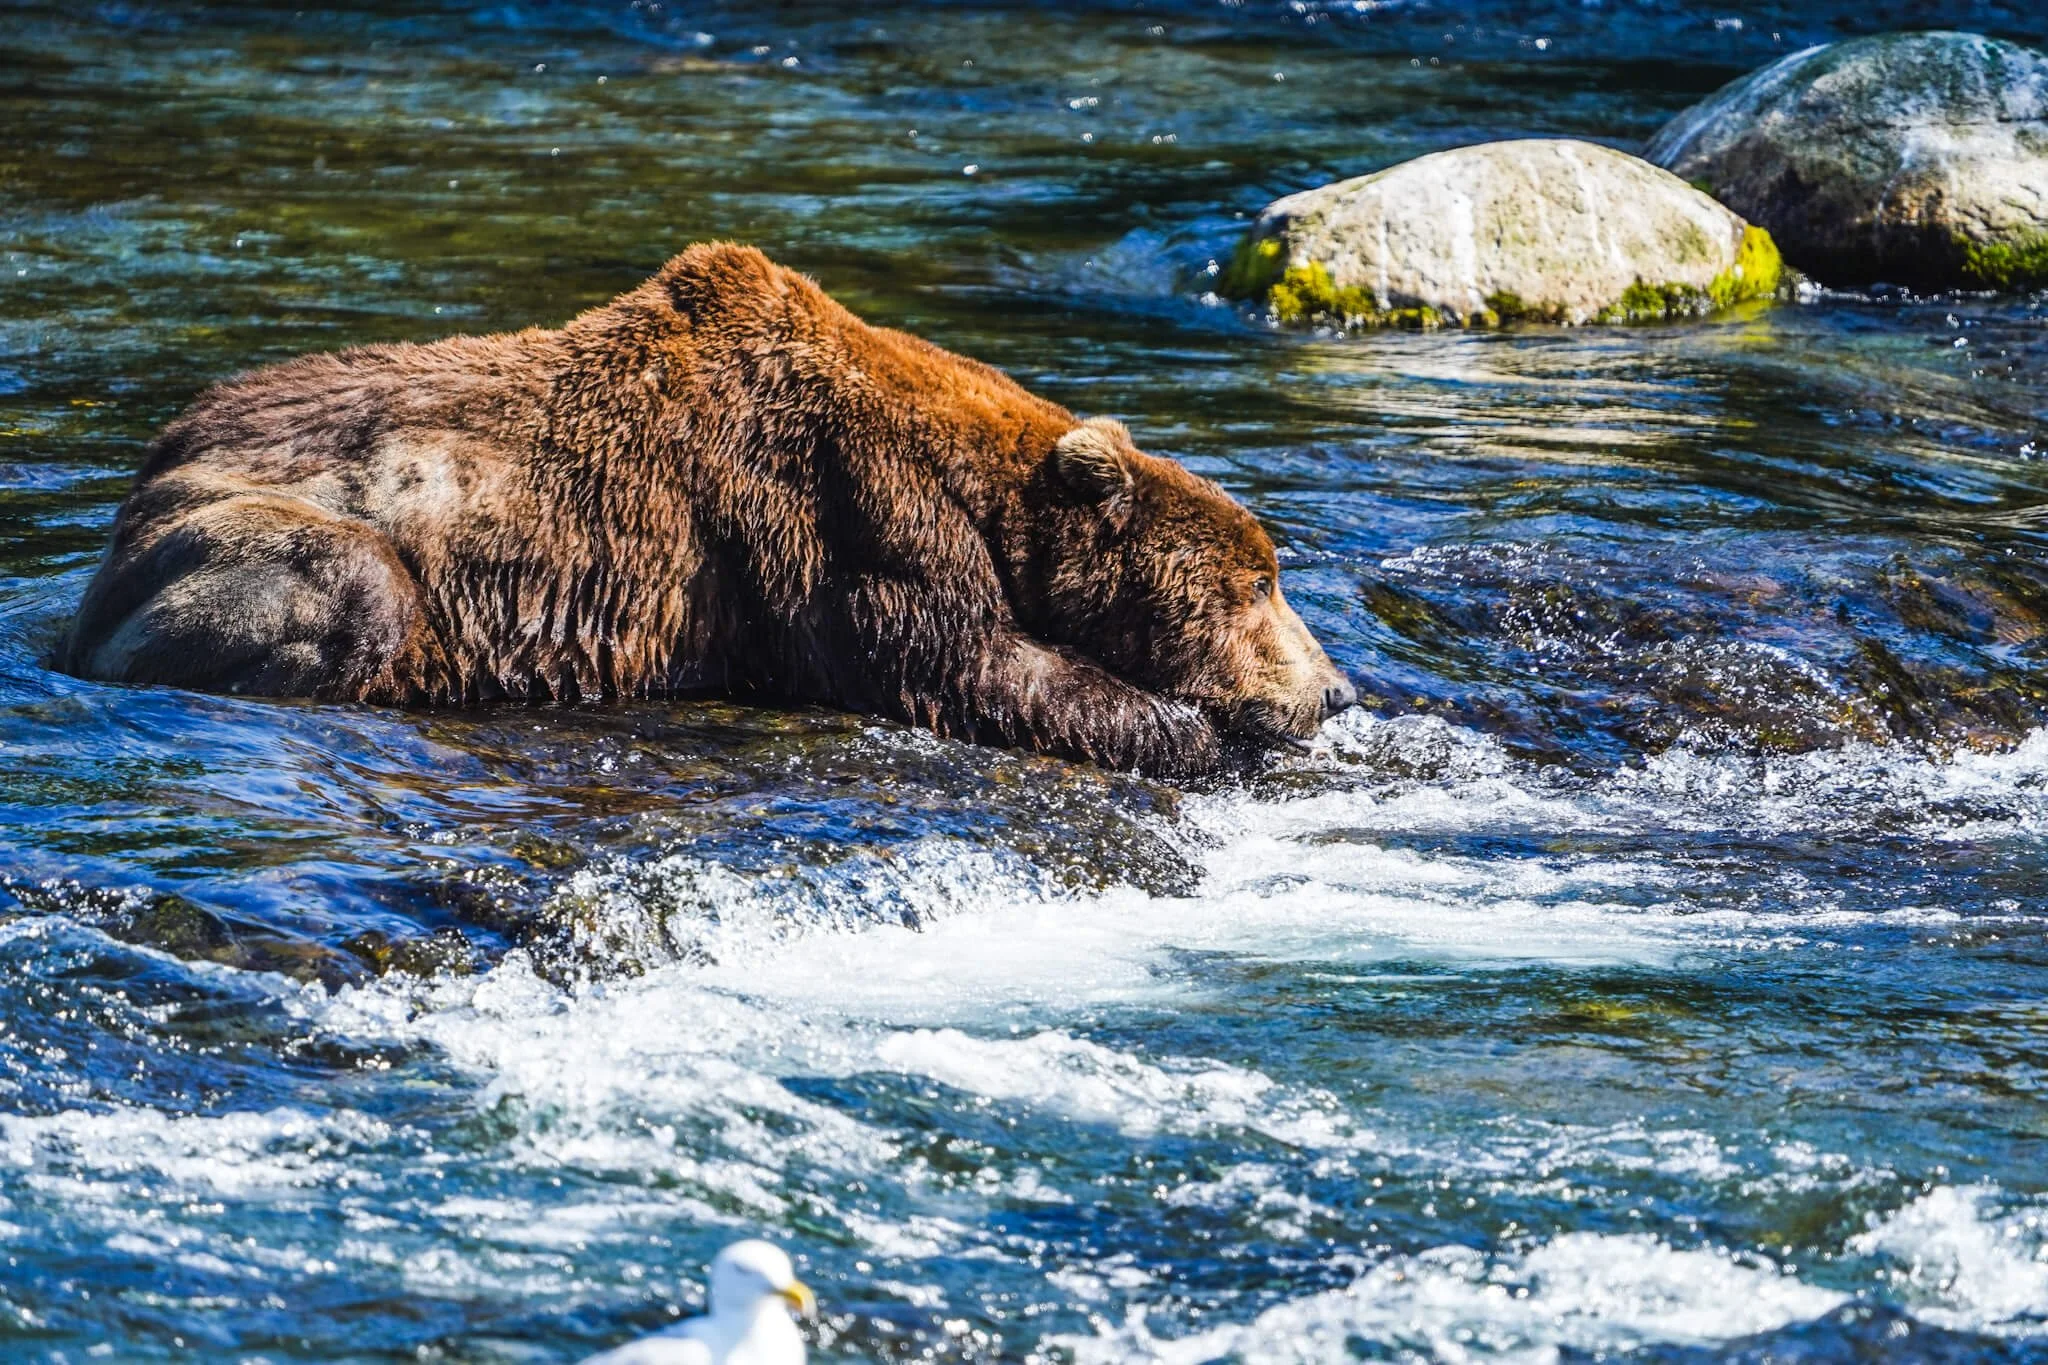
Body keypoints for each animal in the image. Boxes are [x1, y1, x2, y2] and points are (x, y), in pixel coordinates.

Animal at [58, 243, 1355, 777]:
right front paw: (1190, 729)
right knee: (351, 585)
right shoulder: (849, 511)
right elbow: (955, 656)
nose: (1334, 688)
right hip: (239, 530)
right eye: (1253, 583)